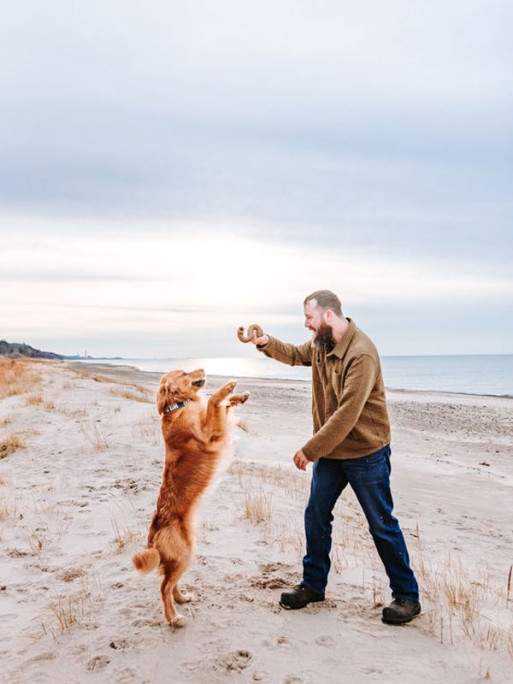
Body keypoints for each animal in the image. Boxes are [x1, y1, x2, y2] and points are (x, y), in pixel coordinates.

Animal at [131, 372, 249, 628]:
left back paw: (182, 599)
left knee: (170, 582)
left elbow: (222, 406)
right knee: (164, 587)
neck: (177, 407)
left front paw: (240, 396)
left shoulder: (214, 424)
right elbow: (214, 401)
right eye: (184, 373)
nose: (203, 369)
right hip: (184, 554)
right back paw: (174, 617)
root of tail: (153, 533)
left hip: (185, 555)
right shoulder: (208, 431)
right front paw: (228, 387)